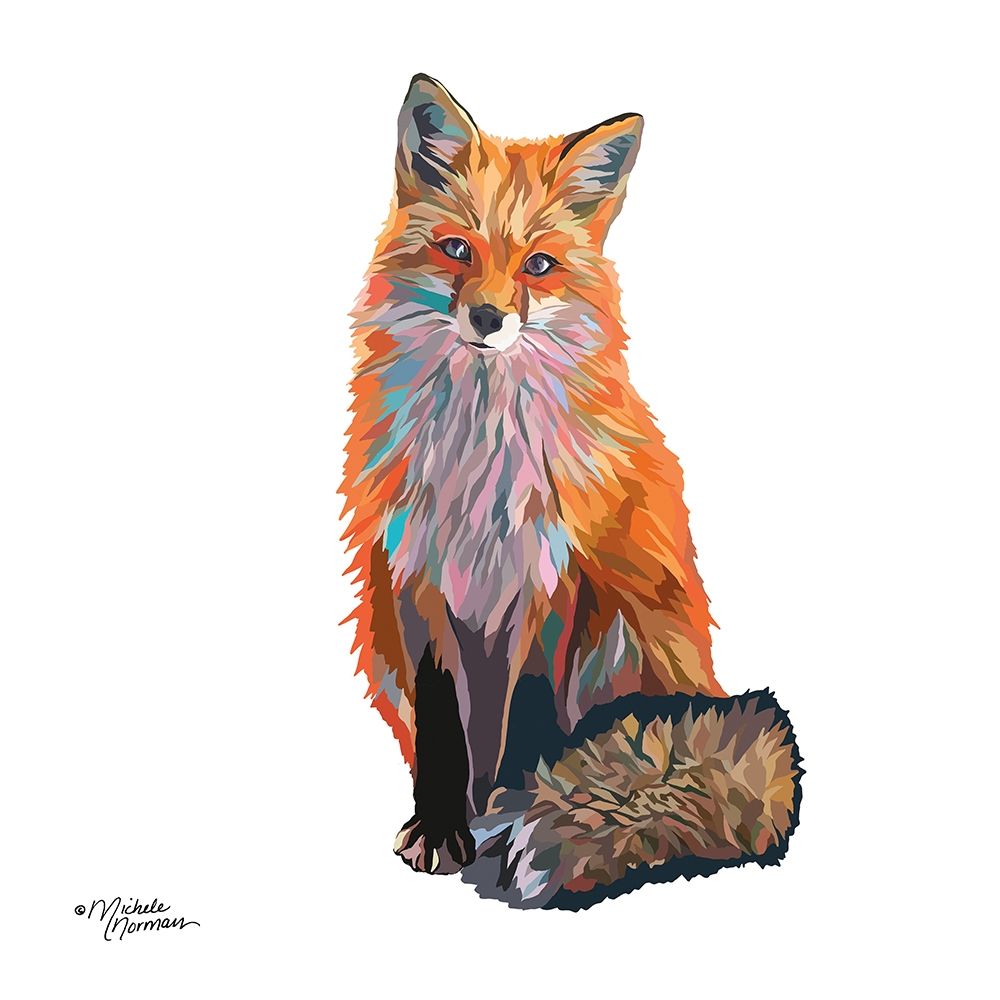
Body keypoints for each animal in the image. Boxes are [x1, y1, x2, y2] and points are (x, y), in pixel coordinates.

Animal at [342, 75, 801, 907]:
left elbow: (526, 720)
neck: (479, 461)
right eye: (456, 249)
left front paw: (511, 808)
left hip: (623, 636)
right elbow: (443, 730)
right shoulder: (415, 576)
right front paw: (443, 828)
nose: (487, 316)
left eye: (539, 265)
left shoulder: (553, 581)